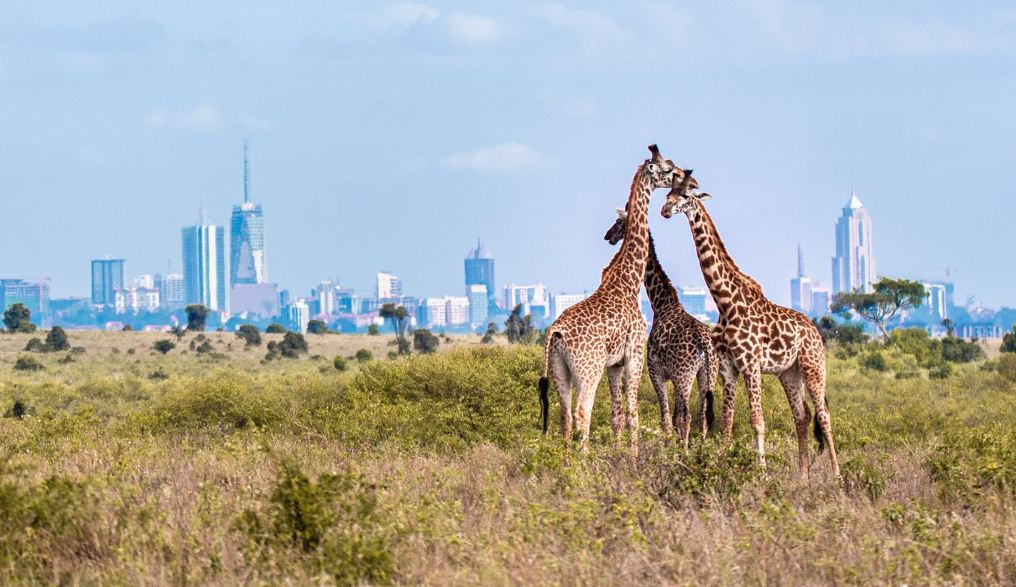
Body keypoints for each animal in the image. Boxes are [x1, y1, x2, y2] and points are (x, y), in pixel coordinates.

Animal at [540, 144, 682, 454]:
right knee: (582, 412)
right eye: (667, 169)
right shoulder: (634, 354)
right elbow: (632, 414)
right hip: (588, 369)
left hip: (560, 371)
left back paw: (567, 464)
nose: (684, 177)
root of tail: (556, 333)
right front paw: (632, 460)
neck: (628, 281)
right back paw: (583, 461)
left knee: (565, 415)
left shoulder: (613, 364)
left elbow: (616, 416)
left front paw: (619, 457)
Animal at [597, 203, 719, 444]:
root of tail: (705, 344)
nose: (608, 236)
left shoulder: (656, 372)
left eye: (618, 222)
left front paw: (669, 448)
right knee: (703, 416)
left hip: (684, 375)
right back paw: (703, 448)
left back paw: (686, 450)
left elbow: (666, 418)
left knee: (687, 416)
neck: (660, 304)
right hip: (708, 374)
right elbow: (672, 418)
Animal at [658, 176, 841, 475]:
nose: (665, 210)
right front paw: (721, 465)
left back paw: (836, 474)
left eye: (685, 195)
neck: (725, 302)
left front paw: (762, 473)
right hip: (789, 372)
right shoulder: (727, 367)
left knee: (823, 415)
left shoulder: (750, 364)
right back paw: (802, 475)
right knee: (802, 416)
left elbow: (757, 421)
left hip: (813, 367)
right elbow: (727, 421)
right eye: (668, 193)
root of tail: (815, 332)